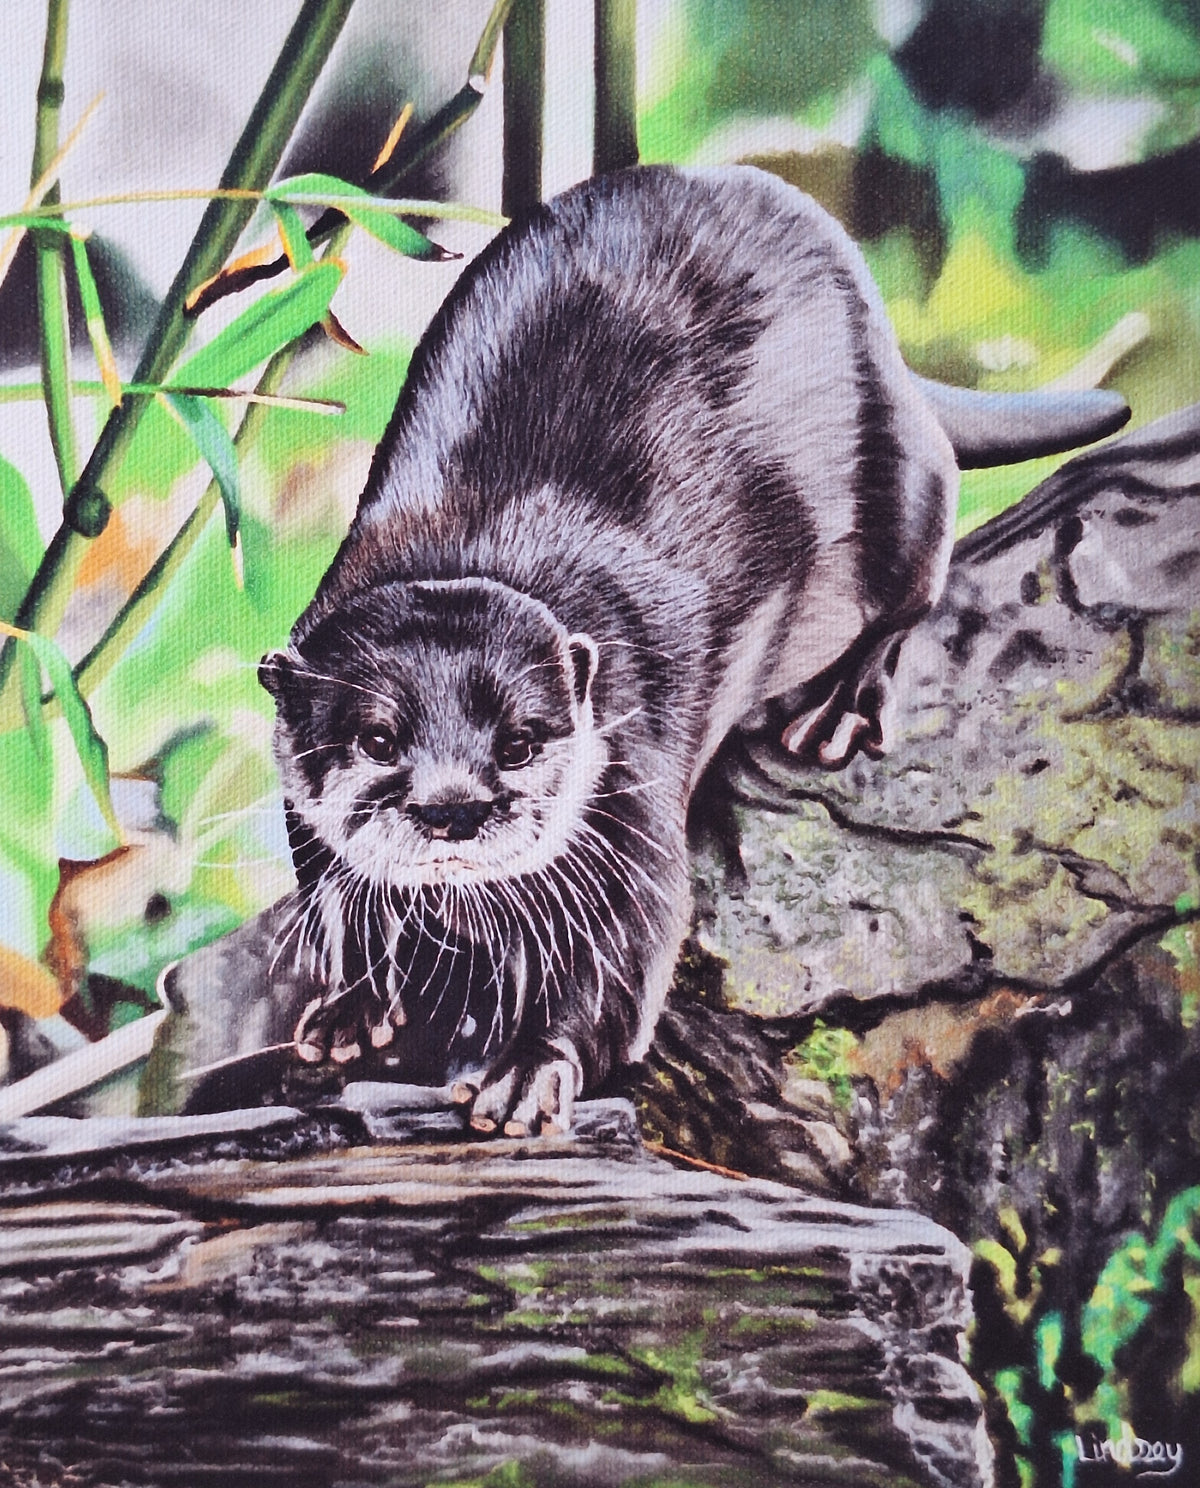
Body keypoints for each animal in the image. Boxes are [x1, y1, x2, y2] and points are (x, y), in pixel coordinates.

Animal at [260, 164, 1127, 1135]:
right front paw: (353, 1008)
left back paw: (837, 708)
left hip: (900, 477)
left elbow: (629, 946)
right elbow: (338, 898)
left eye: (520, 742)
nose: (453, 810)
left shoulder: (627, 778)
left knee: (915, 584)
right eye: (376, 740)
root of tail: (890, 347)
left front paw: (528, 1067)